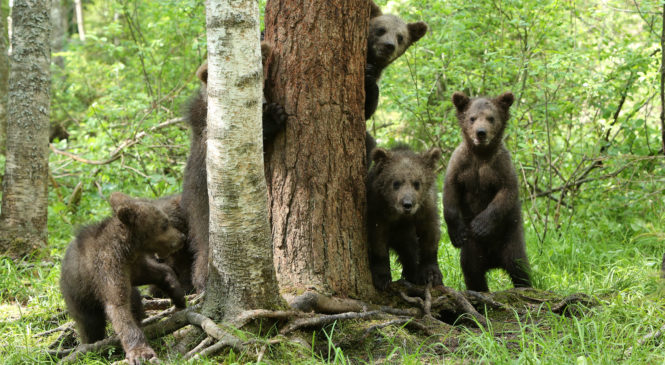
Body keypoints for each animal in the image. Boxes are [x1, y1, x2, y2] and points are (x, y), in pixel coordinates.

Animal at [59, 192, 185, 362]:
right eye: (165, 223)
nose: (182, 237)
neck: (128, 248)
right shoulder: (108, 267)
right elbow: (118, 306)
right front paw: (140, 352)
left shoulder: (133, 266)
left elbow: (157, 273)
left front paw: (178, 296)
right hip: (79, 296)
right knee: (90, 324)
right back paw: (92, 345)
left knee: (135, 302)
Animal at [366, 144, 444, 288]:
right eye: (396, 183)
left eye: (417, 183)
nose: (407, 204)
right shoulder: (377, 210)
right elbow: (377, 240)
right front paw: (382, 276)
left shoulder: (426, 208)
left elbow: (430, 235)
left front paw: (432, 274)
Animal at [444, 91, 532, 292]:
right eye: (472, 118)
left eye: (491, 118)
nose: (481, 132)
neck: (481, 154)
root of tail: (494, 262)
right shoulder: (460, 166)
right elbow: (450, 194)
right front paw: (456, 233)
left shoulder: (501, 168)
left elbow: (506, 193)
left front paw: (480, 225)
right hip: (473, 249)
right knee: (472, 270)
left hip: (510, 240)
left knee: (519, 267)